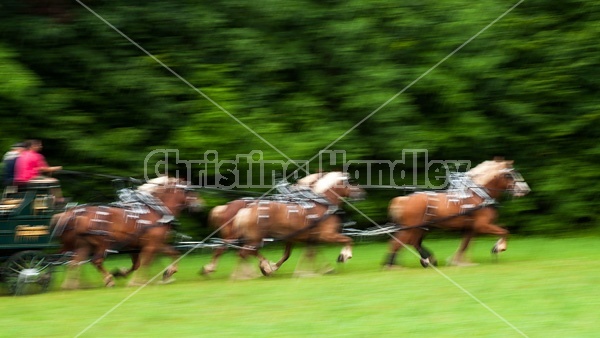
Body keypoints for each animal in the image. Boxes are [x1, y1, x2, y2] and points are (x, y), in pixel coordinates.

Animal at [51, 177, 204, 288]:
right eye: (191, 191)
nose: (200, 205)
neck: (156, 212)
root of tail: (72, 214)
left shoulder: (145, 245)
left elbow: (171, 254)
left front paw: (168, 273)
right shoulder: (151, 245)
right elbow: (145, 262)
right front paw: (136, 281)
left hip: (84, 245)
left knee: (74, 262)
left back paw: (72, 285)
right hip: (102, 243)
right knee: (94, 261)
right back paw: (107, 280)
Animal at [232, 173, 364, 278]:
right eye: (350, 181)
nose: (362, 193)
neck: (323, 204)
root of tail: (246, 210)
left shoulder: (305, 238)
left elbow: (302, 254)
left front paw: (315, 271)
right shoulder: (327, 235)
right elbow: (348, 239)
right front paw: (344, 256)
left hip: (255, 238)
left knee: (246, 253)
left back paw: (260, 269)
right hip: (256, 238)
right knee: (244, 253)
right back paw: (244, 275)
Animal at [384, 160, 528, 268]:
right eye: (509, 175)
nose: (525, 189)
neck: (480, 196)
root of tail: (403, 199)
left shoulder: (471, 228)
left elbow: (465, 244)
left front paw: (458, 262)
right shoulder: (482, 225)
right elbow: (504, 231)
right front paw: (499, 248)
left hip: (421, 228)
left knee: (410, 242)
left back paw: (424, 260)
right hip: (412, 227)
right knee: (399, 242)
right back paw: (395, 265)